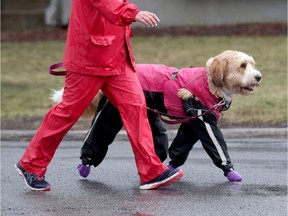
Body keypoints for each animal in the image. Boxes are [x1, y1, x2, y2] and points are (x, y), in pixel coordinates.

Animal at [50, 50, 262, 181]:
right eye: (243, 65)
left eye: (251, 63)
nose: (259, 77)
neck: (209, 81)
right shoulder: (202, 119)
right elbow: (217, 145)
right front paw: (230, 171)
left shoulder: (192, 122)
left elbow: (181, 146)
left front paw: (172, 166)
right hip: (111, 111)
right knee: (98, 134)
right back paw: (85, 164)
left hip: (150, 116)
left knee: (157, 143)